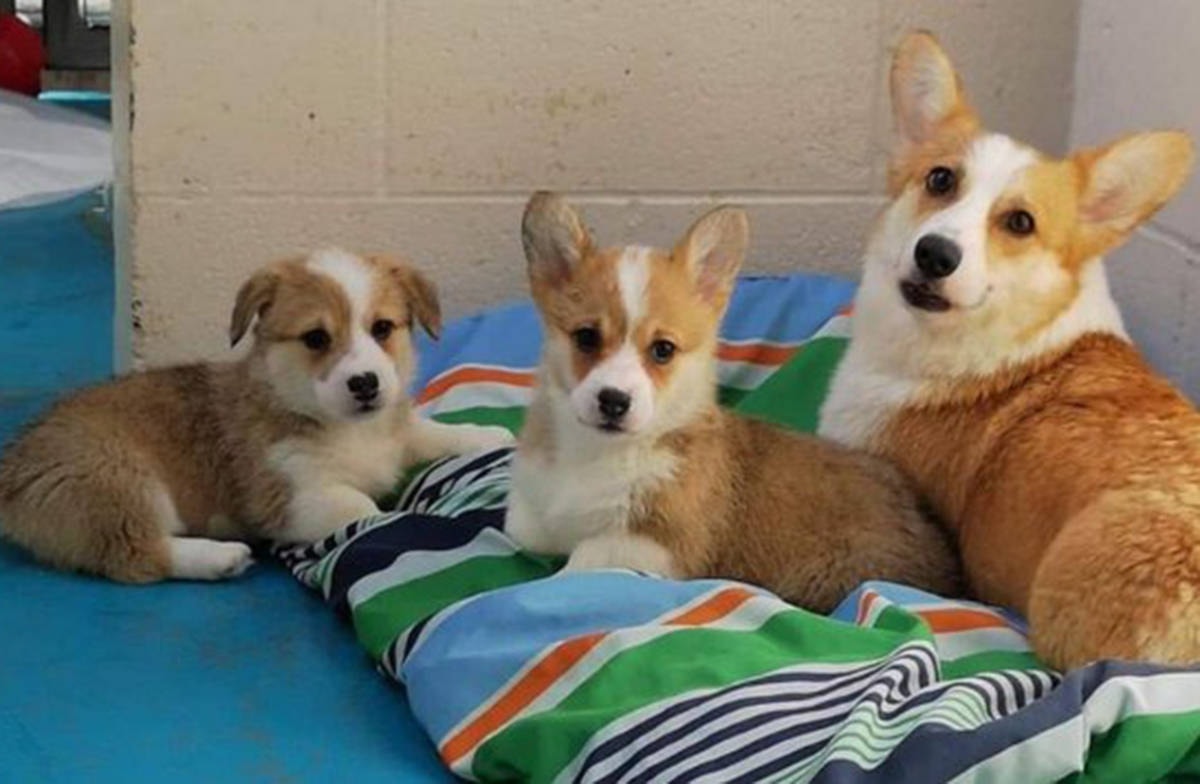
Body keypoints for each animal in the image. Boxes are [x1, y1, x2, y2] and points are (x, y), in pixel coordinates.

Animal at [0, 248, 513, 583]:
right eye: (316, 338)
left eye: (382, 328)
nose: (366, 384)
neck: (347, 428)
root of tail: (12, 467)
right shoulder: (293, 499)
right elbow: (367, 510)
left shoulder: (395, 435)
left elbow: (428, 432)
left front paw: (487, 435)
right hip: (117, 481)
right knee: (136, 556)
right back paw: (218, 558)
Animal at [504, 192, 960, 612]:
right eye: (586, 337)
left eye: (663, 350)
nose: (614, 401)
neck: (596, 453)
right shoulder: (534, 517)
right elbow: (523, 528)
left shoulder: (657, 546)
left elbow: (576, 566)